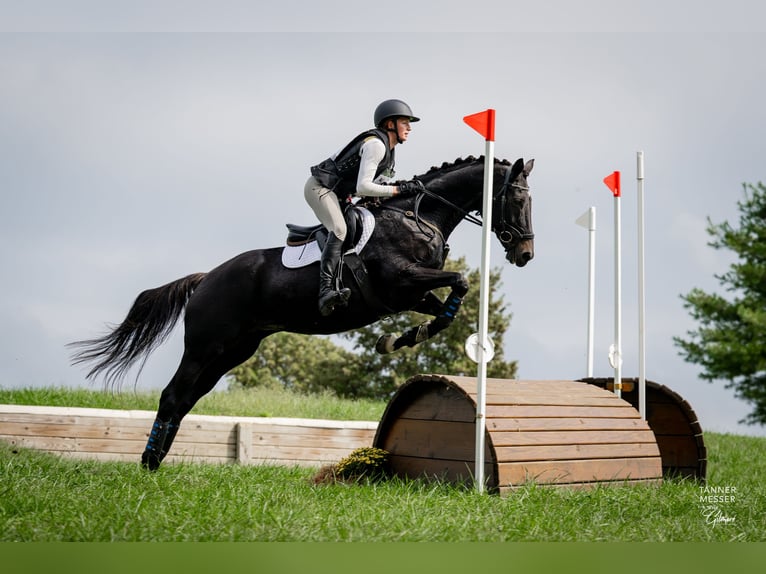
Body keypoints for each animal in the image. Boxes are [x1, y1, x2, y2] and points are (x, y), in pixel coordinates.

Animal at [73, 155, 540, 470]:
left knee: (186, 399)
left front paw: (398, 339)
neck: (417, 215)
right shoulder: (402, 281)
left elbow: (445, 307)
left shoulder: (410, 294)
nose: (525, 254)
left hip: (233, 351)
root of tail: (206, 278)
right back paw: (148, 463)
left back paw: (156, 460)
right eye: (517, 198)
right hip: (206, 346)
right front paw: (397, 339)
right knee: (173, 396)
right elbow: (459, 281)